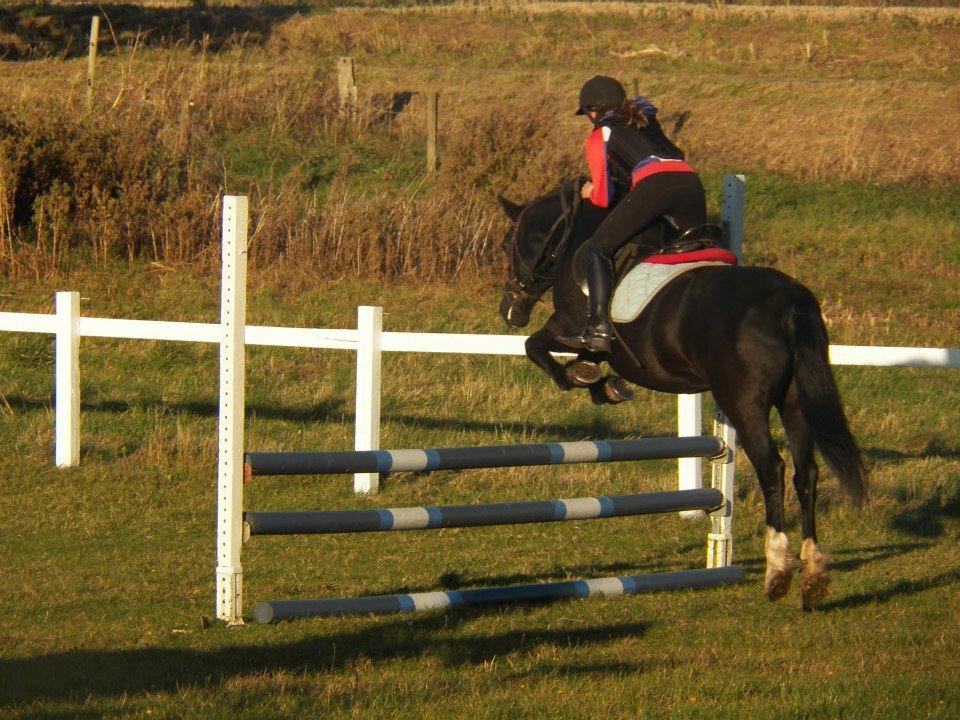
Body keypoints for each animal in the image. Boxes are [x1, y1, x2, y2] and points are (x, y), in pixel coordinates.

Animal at [497, 180, 867, 610]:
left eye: (508, 243)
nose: (510, 310)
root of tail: (787, 300)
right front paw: (603, 385)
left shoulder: (567, 327)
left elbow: (537, 348)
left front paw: (590, 380)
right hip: (795, 403)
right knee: (805, 472)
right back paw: (813, 574)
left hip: (743, 402)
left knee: (772, 468)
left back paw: (777, 571)